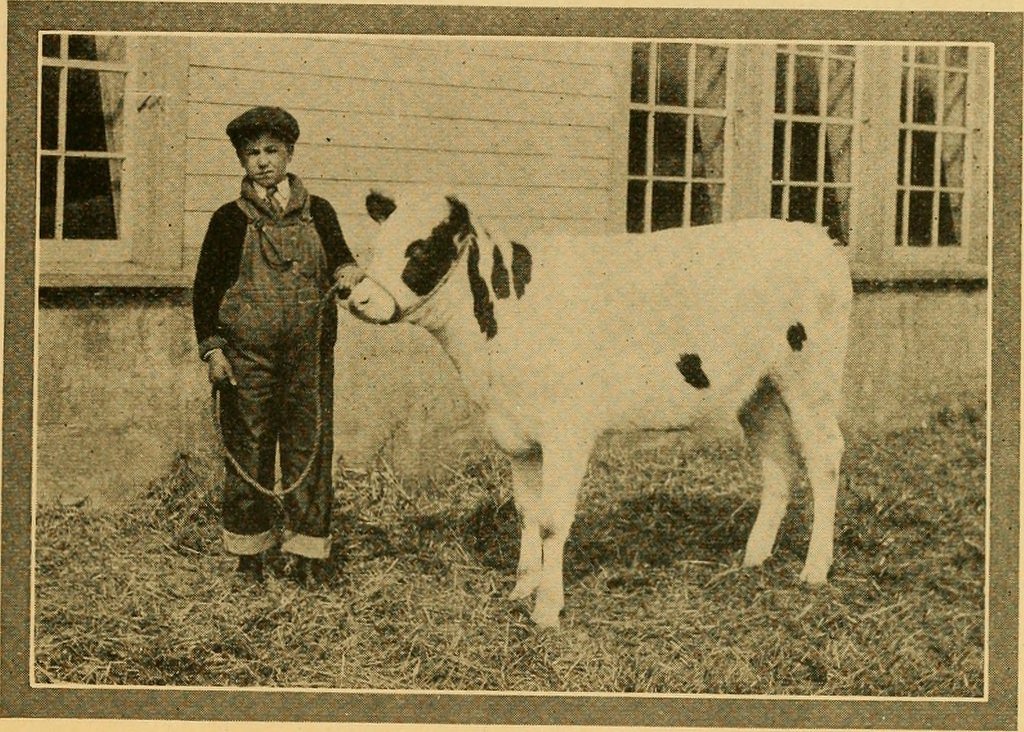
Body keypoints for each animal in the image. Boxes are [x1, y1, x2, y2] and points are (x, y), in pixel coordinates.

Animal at [348, 190, 851, 630]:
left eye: (419, 248)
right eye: (377, 244)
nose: (357, 299)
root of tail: (817, 236)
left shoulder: (567, 431)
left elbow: (553, 521)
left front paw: (547, 609)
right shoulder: (516, 434)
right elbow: (527, 513)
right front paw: (522, 588)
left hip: (811, 378)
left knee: (825, 457)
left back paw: (814, 569)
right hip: (758, 390)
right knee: (779, 464)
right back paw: (754, 557)